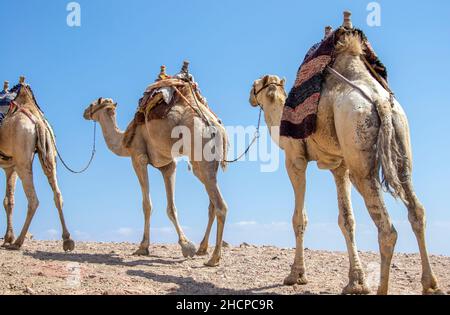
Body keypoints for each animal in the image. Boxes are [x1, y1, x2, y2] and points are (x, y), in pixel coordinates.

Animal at [0, 78, 74, 252]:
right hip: (49, 154)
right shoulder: (9, 167)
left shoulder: (11, 166)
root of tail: (37, 121)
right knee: (57, 194)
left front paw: (9, 238)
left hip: (23, 160)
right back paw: (67, 240)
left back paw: (18, 242)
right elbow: (8, 200)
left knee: (33, 200)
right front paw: (7, 237)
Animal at [82, 86, 229, 266]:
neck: (124, 141)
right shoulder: (167, 166)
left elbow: (147, 205)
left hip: (200, 157)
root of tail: (215, 125)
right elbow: (171, 207)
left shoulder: (138, 158)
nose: (85, 112)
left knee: (220, 206)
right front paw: (186, 245)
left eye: (92, 104)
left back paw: (214, 258)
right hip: (209, 164)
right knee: (212, 205)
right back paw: (203, 248)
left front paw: (143, 247)